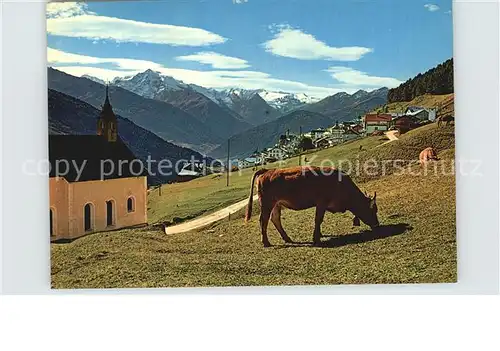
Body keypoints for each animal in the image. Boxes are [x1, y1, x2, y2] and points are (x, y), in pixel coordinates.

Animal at [245, 167, 378, 248]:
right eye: (373, 210)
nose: (377, 224)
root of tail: (268, 171)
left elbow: (319, 220)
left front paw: (320, 235)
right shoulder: (321, 203)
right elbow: (318, 219)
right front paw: (316, 238)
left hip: (276, 205)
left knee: (275, 219)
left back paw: (287, 238)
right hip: (267, 204)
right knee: (263, 220)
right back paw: (266, 242)